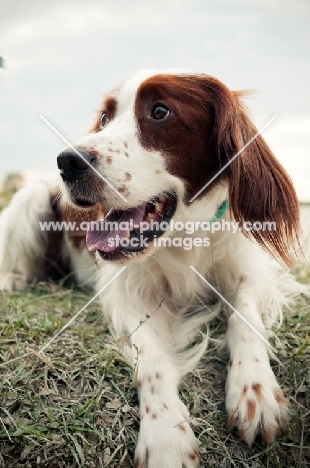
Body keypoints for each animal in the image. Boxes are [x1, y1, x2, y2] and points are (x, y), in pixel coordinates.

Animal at [0, 67, 306, 466]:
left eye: (160, 111)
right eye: (105, 118)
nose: (68, 161)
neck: (182, 238)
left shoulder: (248, 271)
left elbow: (245, 317)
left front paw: (254, 388)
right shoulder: (130, 295)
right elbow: (152, 359)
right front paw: (165, 436)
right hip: (30, 199)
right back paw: (15, 280)